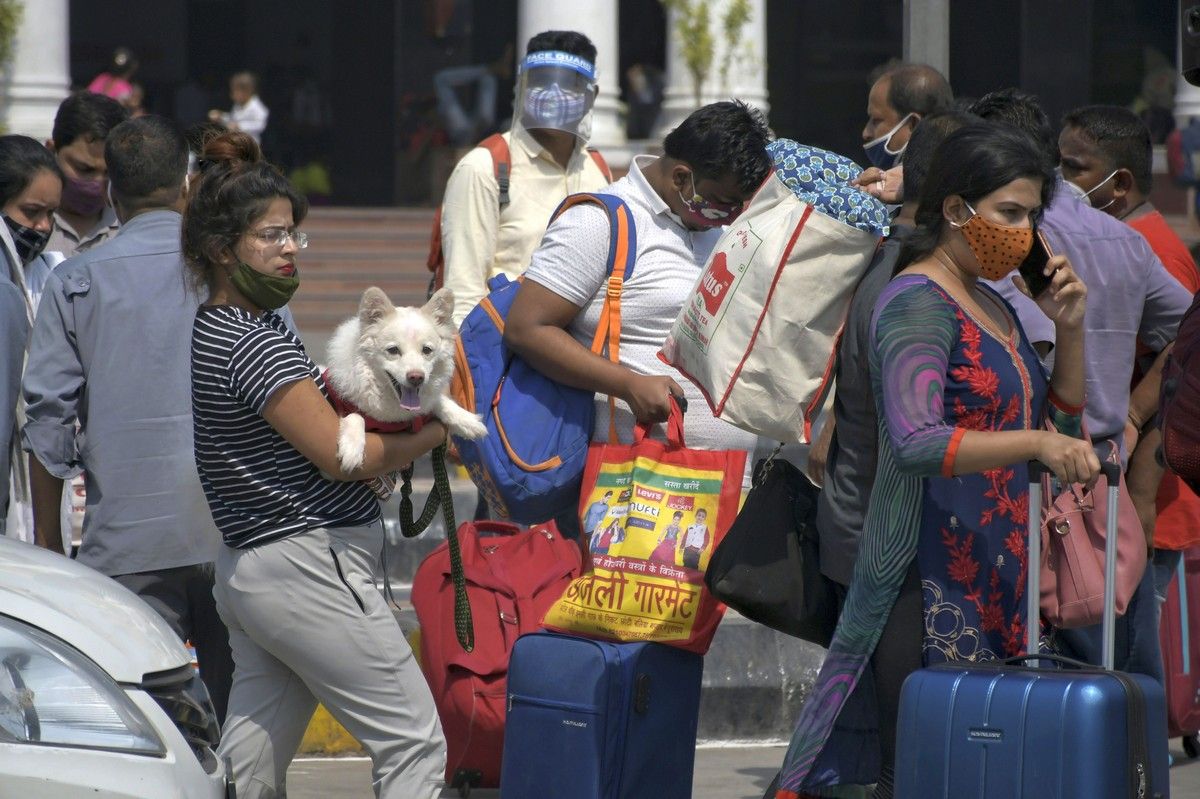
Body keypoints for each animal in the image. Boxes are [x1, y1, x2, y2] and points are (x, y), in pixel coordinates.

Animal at [324, 286, 487, 473]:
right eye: (393, 350)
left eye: (427, 350)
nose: (416, 377)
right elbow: (356, 416)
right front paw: (351, 449)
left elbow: (438, 402)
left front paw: (468, 422)